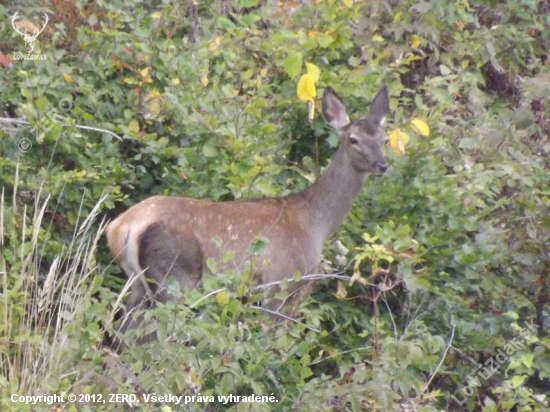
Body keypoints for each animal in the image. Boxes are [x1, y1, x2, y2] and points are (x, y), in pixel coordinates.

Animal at [108, 85, 392, 342]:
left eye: (384, 139)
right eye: (354, 140)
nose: (382, 165)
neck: (314, 224)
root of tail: (121, 228)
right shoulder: (279, 281)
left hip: (137, 283)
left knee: (124, 336)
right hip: (175, 277)